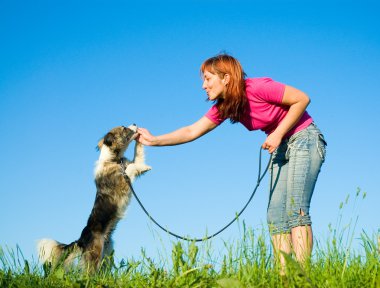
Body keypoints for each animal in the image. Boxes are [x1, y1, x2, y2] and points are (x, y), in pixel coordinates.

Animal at [37, 124, 151, 272]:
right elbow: (131, 167)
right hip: (95, 255)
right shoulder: (123, 182)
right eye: (124, 128)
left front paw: (142, 147)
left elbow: (137, 157)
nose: (135, 123)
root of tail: (81, 239)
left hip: (106, 254)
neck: (113, 160)